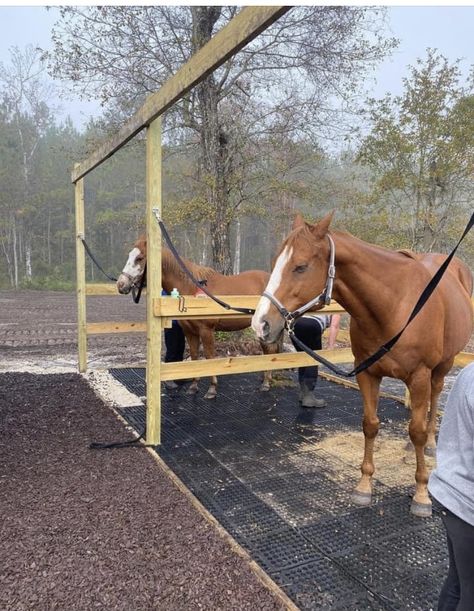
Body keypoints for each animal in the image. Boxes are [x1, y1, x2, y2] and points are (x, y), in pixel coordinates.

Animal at [116, 239, 280, 402]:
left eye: (139, 258)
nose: (121, 285)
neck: (191, 287)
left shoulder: (206, 331)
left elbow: (209, 357)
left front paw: (212, 389)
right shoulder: (190, 331)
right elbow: (195, 357)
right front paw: (193, 387)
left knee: (270, 350)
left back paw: (266, 383)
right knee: (269, 351)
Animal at [250, 212, 472, 516]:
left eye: (301, 267)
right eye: (275, 264)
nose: (260, 324)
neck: (396, 306)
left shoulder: (419, 376)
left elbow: (416, 429)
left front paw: (421, 493)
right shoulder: (367, 373)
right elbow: (370, 424)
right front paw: (365, 485)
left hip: (442, 366)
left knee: (434, 399)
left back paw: (430, 443)